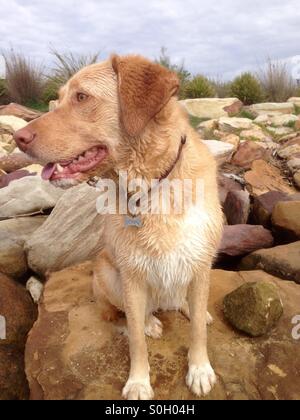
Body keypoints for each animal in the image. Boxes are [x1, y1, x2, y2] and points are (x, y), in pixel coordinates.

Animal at [15, 55, 224, 400]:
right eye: (58, 98)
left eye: (81, 97)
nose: (17, 138)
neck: (151, 186)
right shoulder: (133, 275)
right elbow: (135, 338)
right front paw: (139, 382)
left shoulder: (199, 261)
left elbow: (196, 332)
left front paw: (199, 369)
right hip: (110, 276)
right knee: (128, 314)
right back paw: (151, 321)